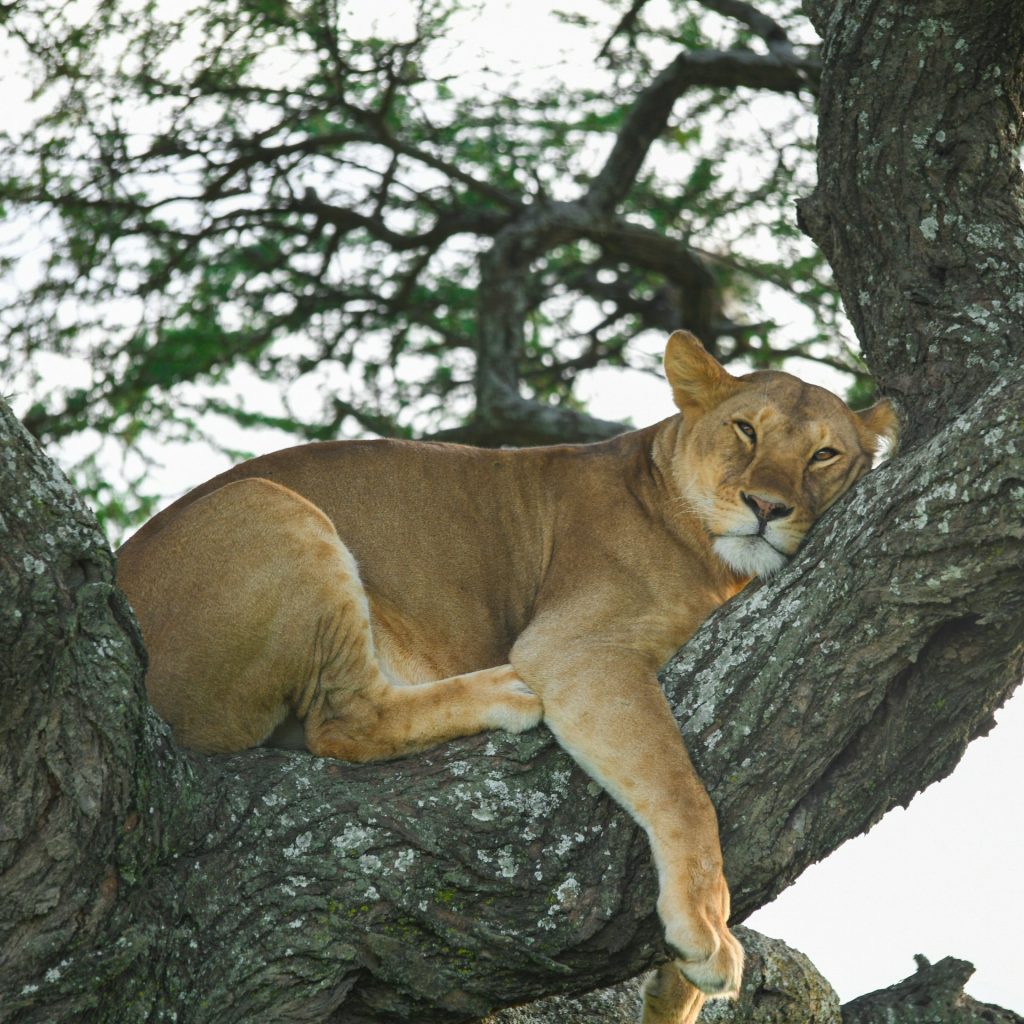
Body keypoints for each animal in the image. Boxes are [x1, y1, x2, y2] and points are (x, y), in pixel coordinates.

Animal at [116, 331, 898, 1024]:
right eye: (744, 429)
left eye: (824, 454)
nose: (767, 508)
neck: (719, 567)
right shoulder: (576, 648)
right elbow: (682, 790)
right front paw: (705, 932)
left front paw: (676, 991)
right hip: (267, 504)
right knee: (345, 723)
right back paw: (502, 693)